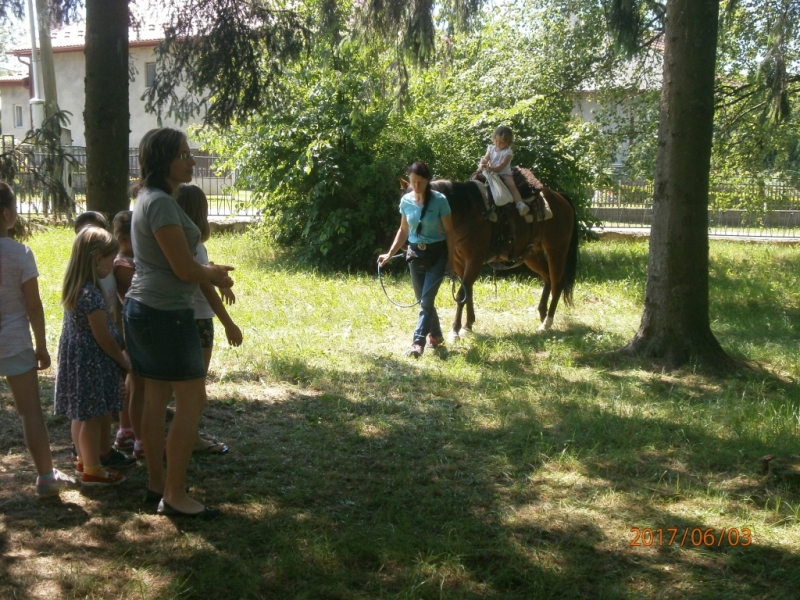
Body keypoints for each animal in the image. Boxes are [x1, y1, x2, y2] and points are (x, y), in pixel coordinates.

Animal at [428, 168, 580, 338]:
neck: (470, 213)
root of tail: (560, 196)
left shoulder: (474, 260)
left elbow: (461, 295)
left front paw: (455, 331)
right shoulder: (460, 262)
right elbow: (468, 292)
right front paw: (468, 325)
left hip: (557, 250)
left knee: (557, 283)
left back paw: (547, 322)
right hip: (532, 255)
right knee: (548, 279)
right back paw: (542, 315)